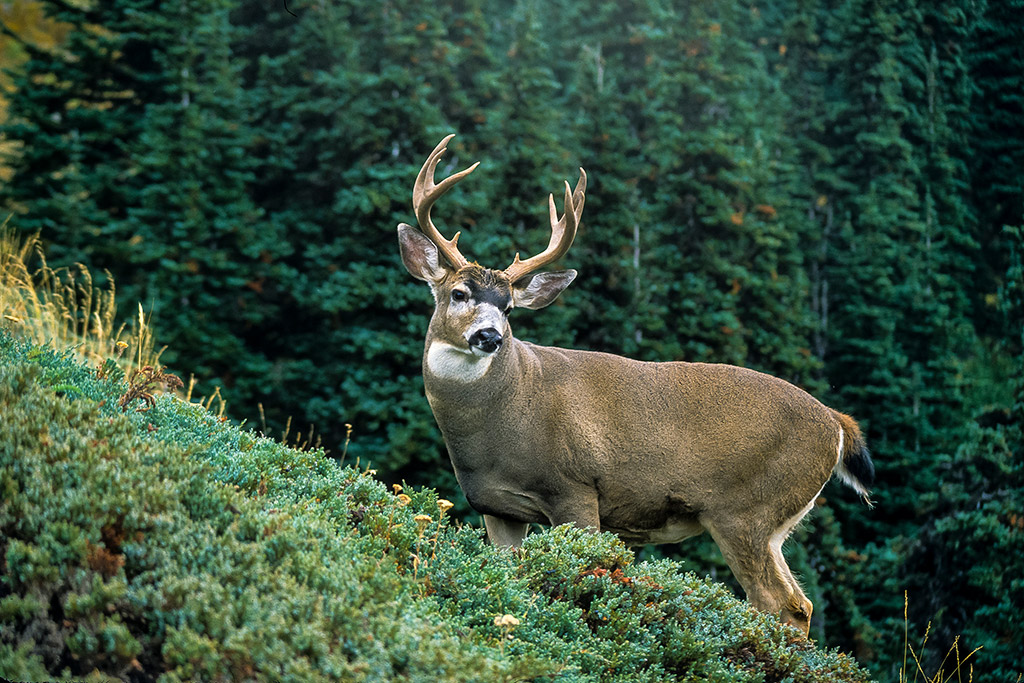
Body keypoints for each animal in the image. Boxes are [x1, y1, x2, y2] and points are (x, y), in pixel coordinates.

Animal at [393, 135, 872, 634]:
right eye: (458, 294)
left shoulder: (575, 488)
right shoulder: (497, 508)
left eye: (508, 308)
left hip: (747, 510)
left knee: (779, 602)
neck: (500, 421)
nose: (490, 336)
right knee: (799, 604)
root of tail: (836, 424)